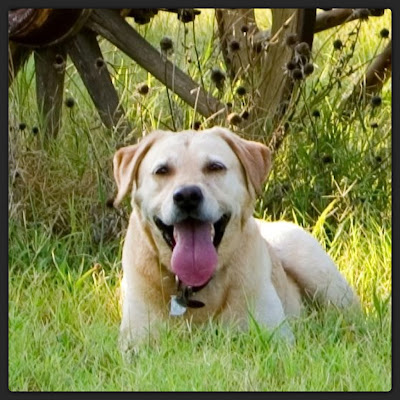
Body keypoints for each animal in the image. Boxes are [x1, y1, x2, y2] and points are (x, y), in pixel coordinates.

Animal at [113, 126, 360, 352]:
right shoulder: (136, 344)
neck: (197, 289)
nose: (187, 196)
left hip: (317, 271)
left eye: (215, 167)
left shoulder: (275, 337)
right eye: (162, 170)